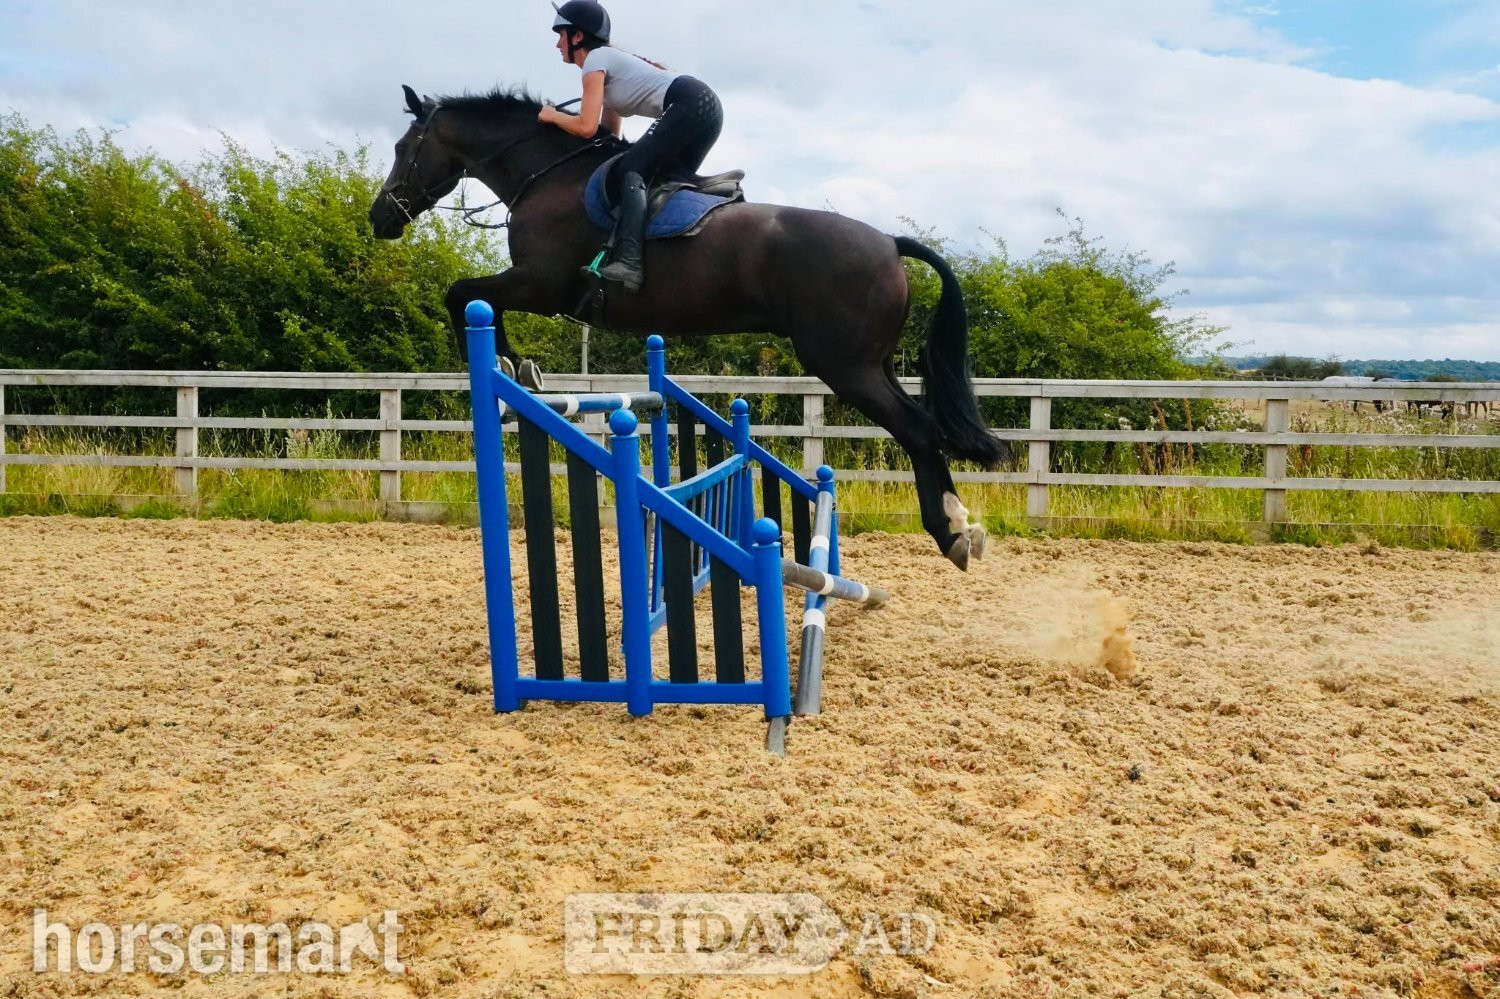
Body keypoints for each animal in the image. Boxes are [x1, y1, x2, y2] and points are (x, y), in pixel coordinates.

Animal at [369, 84, 1006, 570]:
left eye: (403, 147)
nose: (380, 218)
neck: (546, 176)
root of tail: (889, 242)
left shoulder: (540, 285)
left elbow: (465, 295)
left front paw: (509, 364)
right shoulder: (535, 287)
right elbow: (474, 298)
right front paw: (517, 365)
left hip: (844, 365)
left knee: (918, 429)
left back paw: (950, 532)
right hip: (870, 363)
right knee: (922, 425)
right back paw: (960, 525)